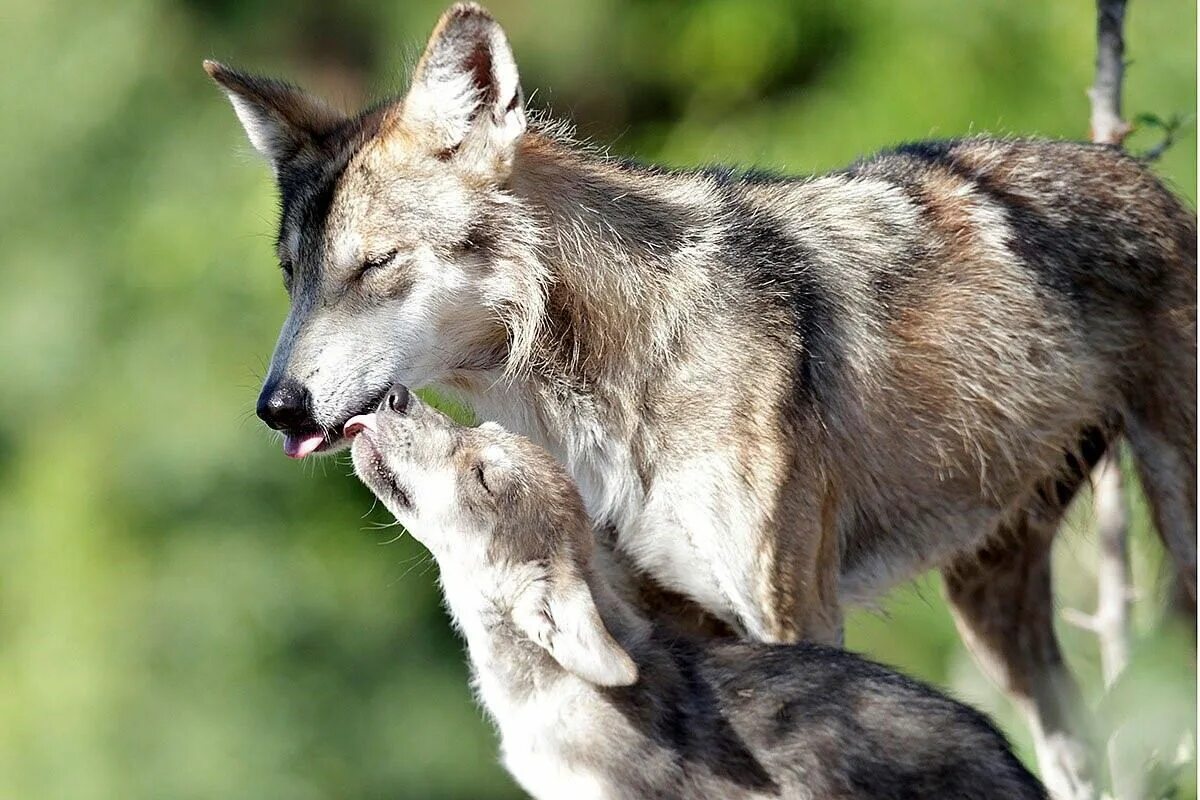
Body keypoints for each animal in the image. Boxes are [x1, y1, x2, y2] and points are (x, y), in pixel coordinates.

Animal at [204, 3, 1190, 796]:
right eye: (294, 277)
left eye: (375, 265)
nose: (277, 408)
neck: (604, 387)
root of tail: (1136, 169)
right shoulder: (659, 620)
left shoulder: (793, 619)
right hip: (994, 614)